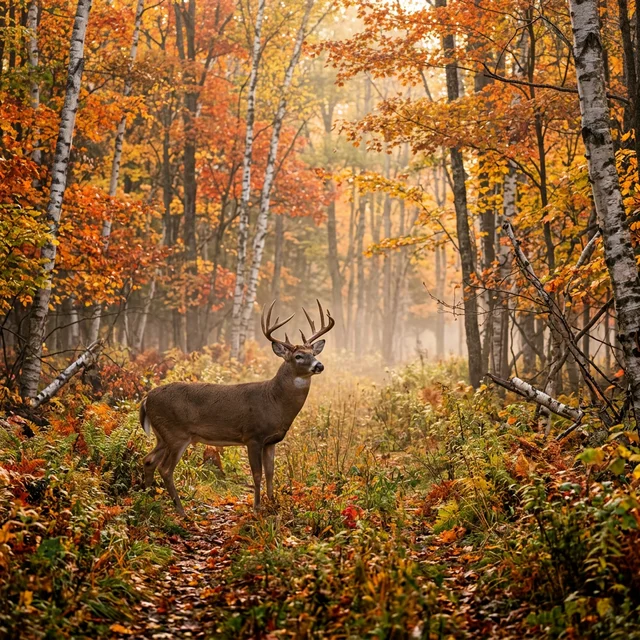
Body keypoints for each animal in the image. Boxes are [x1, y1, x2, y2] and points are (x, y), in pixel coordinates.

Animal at [138, 300, 335, 516]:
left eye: (313, 353)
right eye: (298, 356)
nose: (319, 365)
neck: (274, 401)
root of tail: (147, 399)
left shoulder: (271, 441)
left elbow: (270, 472)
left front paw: (273, 503)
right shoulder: (253, 436)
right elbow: (257, 474)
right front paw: (257, 508)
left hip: (162, 435)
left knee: (148, 460)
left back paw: (148, 501)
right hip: (176, 434)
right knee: (165, 469)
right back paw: (181, 512)